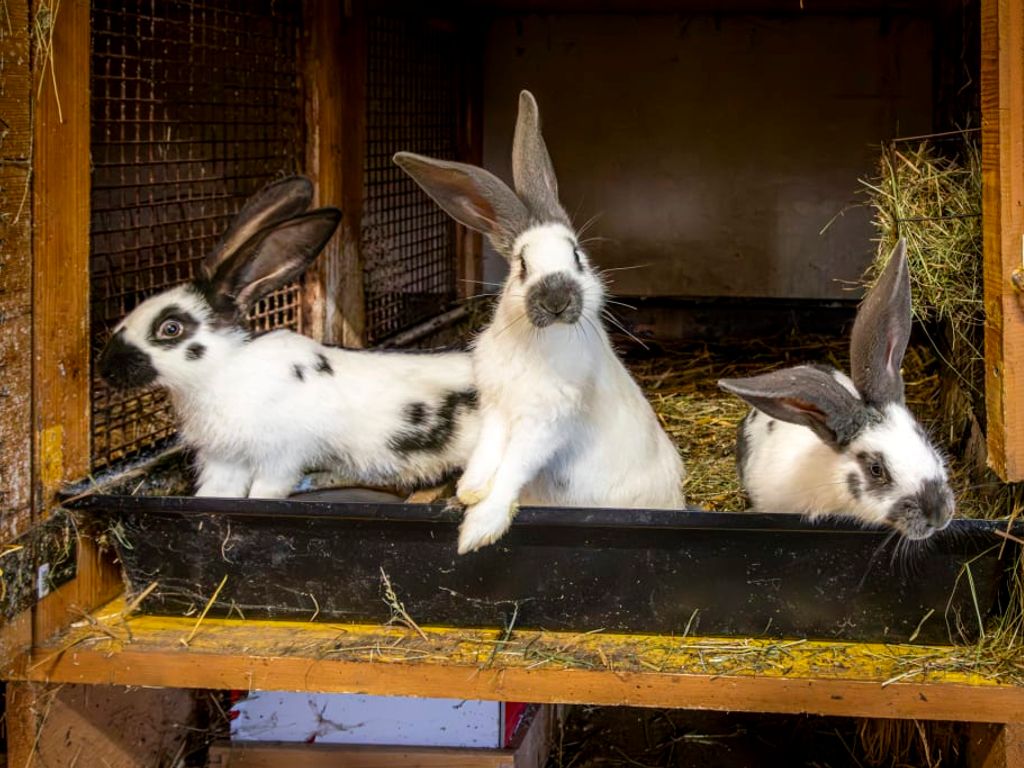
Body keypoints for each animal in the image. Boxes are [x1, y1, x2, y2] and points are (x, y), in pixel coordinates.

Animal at [98, 176, 480, 499]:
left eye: (171, 328)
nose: (107, 369)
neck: (221, 372)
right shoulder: (225, 459)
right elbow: (218, 495)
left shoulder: (280, 457)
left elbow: (264, 493)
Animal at [395, 90, 685, 555]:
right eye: (521, 265)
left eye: (577, 257)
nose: (556, 299)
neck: (534, 342)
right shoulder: (497, 407)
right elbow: (488, 454)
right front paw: (469, 490)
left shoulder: (544, 424)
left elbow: (513, 467)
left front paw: (479, 529)